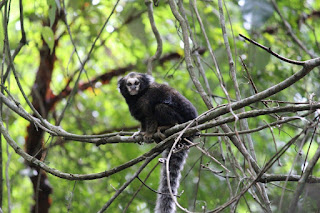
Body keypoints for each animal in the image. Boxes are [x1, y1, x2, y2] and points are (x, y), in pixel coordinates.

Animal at [118, 72, 198, 212]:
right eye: (129, 84)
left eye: (136, 83)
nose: (133, 88)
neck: (139, 95)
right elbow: (143, 120)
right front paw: (140, 133)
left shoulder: (148, 99)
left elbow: (150, 116)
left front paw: (149, 134)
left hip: (180, 120)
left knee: (160, 107)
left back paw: (167, 126)